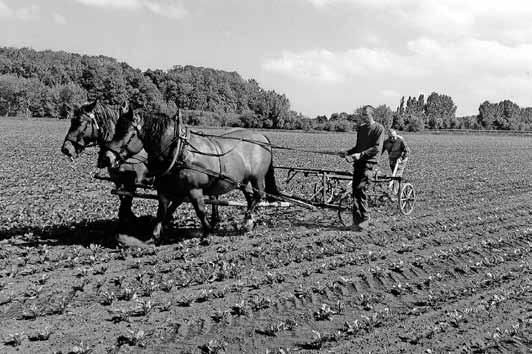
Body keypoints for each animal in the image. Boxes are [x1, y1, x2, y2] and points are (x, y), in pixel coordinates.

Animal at [60, 99, 152, 230]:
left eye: (80, 122)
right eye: (72, 121)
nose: (66, 149)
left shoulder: (131, 180)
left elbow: (127, 199)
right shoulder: (118, 179)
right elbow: (123, 199)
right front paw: (128, 218)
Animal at [101, 103, 280, 245]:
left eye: (128, 134)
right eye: (116, 130)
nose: (107, 158)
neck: (178, 151)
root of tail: (261, 136)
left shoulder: (195, 190)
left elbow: (200, 211)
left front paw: (207, 233)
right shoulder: (164, 191)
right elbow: (161, 213)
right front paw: (154, 237)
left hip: (257, 178)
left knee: (259, 196)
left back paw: (247, 219)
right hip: (241, 181)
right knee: (250, 198)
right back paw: (249, 222)